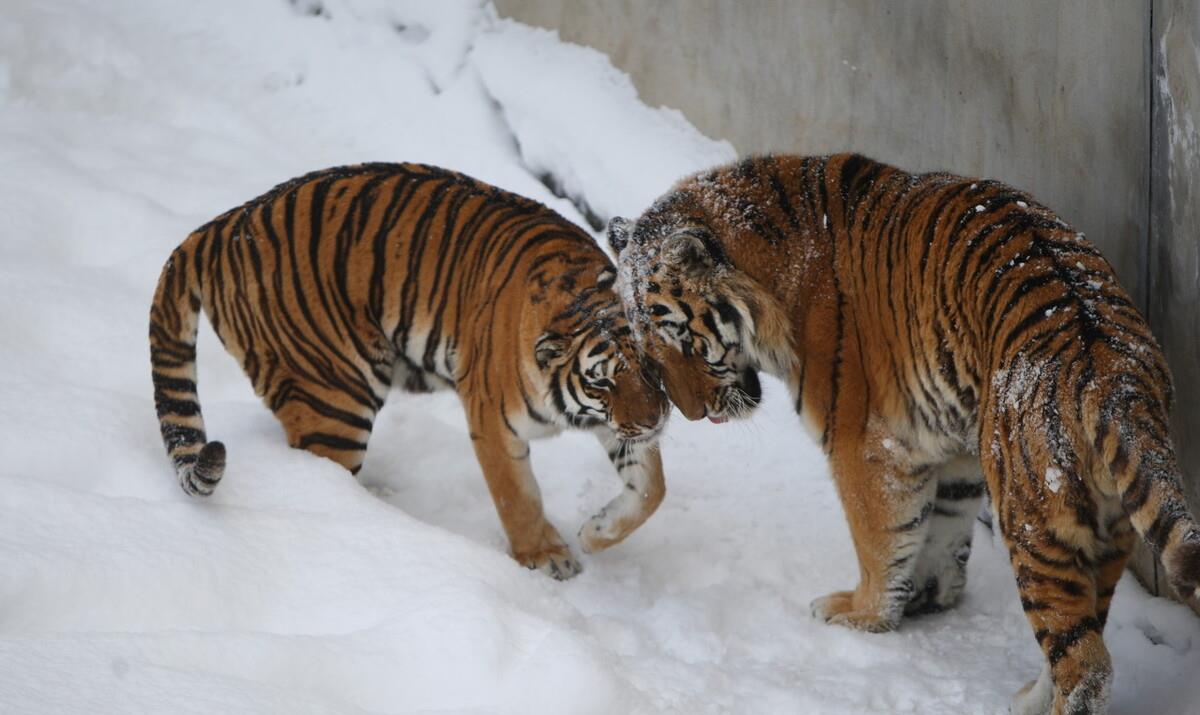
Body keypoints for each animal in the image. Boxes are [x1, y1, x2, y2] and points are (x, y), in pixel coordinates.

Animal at [146, 159, 672, 578]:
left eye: (649, 370)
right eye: (601, 380)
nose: (655, 421)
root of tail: (221, 226)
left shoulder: (619, 424)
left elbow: (651, 490)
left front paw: (596, 532)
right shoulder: (494, 421)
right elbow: (517, 498)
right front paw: (545, 556)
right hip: (335, 397)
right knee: (321, 474)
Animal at [609, 153, 1200, 710]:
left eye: (680, 336)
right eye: (648, 347)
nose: (690, 414)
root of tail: (1112, 371)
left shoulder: (865, 443)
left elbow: (879, 537)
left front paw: (861, 613)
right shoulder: (954, 448)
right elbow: (938, 526)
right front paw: (927, 595)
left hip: (1033, 519)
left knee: (1086, 669)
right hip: (1105, 521)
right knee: (1080, 636)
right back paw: (1029, 697)